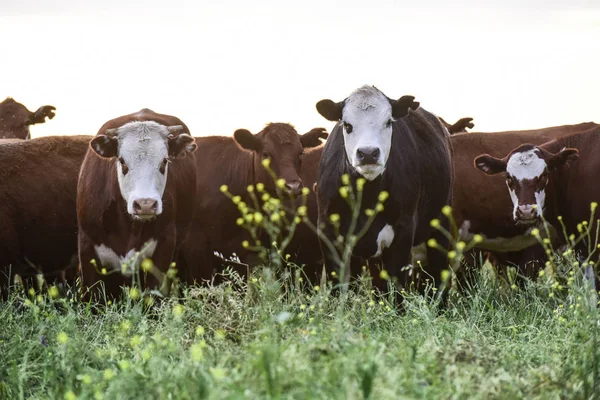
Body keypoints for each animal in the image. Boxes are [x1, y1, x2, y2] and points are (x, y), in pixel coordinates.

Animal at [316, 85, 452, 290]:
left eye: (388, 122)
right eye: (347, 125)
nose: (368, 153)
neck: (367, 197)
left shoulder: (404, 231)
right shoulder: (328, 232)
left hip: (440, 226)